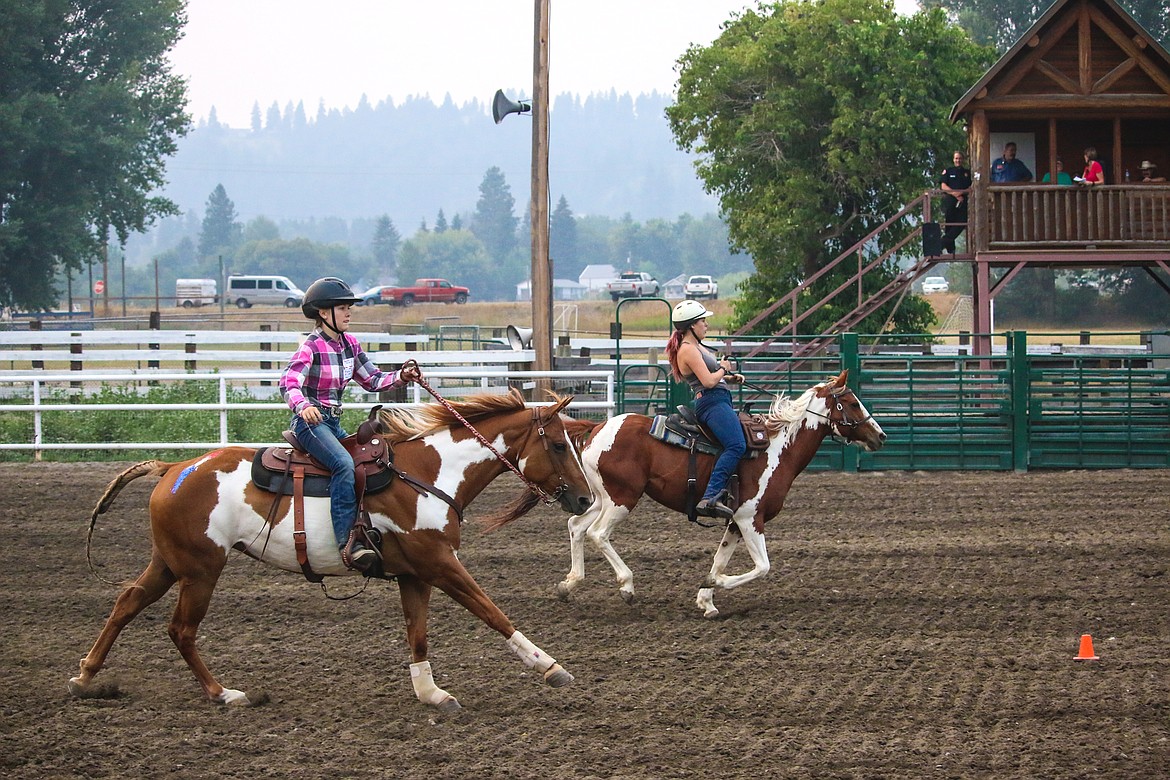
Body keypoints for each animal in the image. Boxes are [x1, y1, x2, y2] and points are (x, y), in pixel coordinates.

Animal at [68, 390, 594, 715]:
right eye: (558, 444)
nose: (586, 499)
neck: (431, 472)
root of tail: (174, 466)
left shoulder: (415, 573)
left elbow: (418, 634)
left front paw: (431, 693)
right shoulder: (440, 563)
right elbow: (491, 612)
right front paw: (551, 667)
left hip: (170, 563)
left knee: (128, 602)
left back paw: (86, 678)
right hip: (200, 570)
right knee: (180, 630)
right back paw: (224, 693)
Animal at [489, 369, 879, 617]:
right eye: (852, 402)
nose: (880, 435)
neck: (777, 448)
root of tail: (599, 427)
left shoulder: (735, 522)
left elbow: (721, 558)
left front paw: (707, 597)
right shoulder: (751, 518)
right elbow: (763, 567)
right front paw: (715, 584)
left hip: (599, 497)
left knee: (576, 526)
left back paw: (569, 584)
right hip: (622, 499)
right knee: (598, 534)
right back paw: (626, 586)